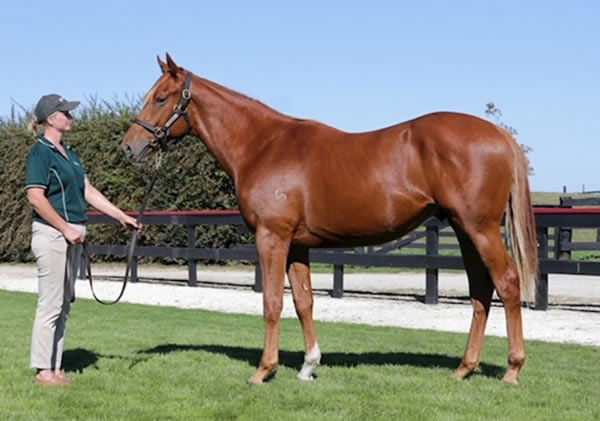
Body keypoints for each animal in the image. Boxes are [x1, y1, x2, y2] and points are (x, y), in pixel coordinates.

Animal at [122, 54, 540, 386]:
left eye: (161, 98)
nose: (128, 147)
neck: (263, 145)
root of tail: (499, 135)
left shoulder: (271, 238)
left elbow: (272, 301)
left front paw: (264, 370)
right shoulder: (297, 246)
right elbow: (304, 301)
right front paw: (309, 365)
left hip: (480, 229)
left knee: (507, 283)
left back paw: (513, 369)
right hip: (466, 231)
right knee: (481, 292)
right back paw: (464, 369)